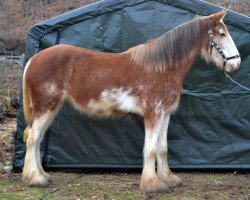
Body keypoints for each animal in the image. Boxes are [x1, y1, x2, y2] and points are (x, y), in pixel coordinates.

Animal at [22, 10, 240, 192]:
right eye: (222, 34)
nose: (236, 63)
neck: (162, 68)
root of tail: (33, 60)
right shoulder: (153, 114)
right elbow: (150, 149)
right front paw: (152, 184)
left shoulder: (165, 114)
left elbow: (162, 148)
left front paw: (168, 179)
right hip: (46, 107)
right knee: (32, 136)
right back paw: (36, 179)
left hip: (52, 108)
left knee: (37, 138)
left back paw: (41, 175)